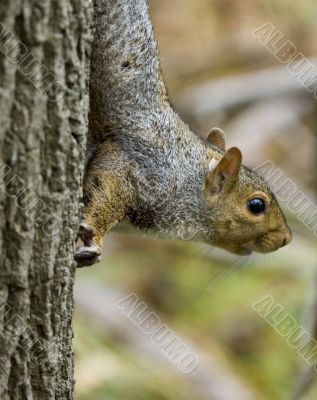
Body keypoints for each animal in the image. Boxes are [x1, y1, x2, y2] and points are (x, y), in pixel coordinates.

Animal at [74, 0, 292, 268]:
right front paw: (94, 236)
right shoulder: (137, 165)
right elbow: (106, 187)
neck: (187, 175)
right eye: (257, 205)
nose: (287, 238)